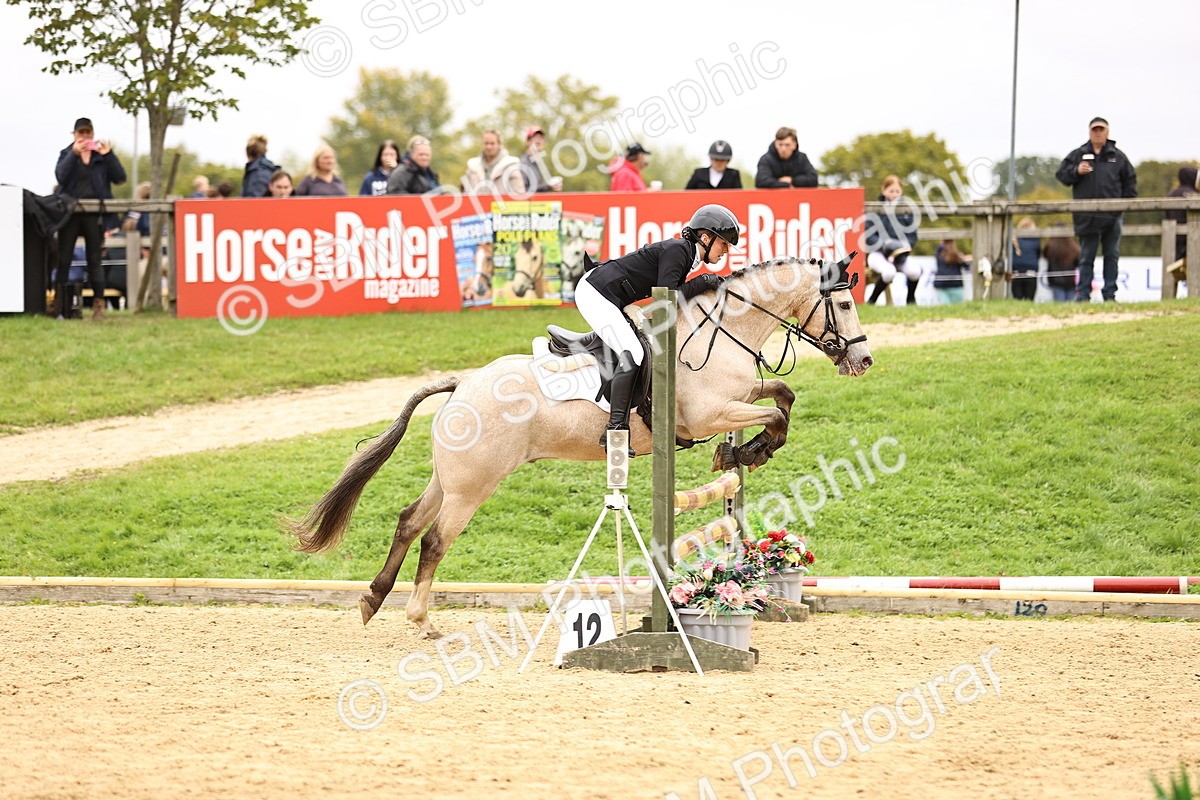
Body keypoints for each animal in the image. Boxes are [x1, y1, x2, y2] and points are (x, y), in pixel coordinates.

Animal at [288, 256, 873, 639]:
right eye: (844, 302)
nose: (862, 361)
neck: (720, 330)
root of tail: (461, 384)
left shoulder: (738, 395)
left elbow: (782, 395)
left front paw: (743, 453)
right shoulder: (709, 412)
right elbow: (775, 413)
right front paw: (747, 452)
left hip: (450, 479)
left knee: (409, 521)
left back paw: (373, 599)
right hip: (473, 487)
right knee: (433, 541)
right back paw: (421, 620)